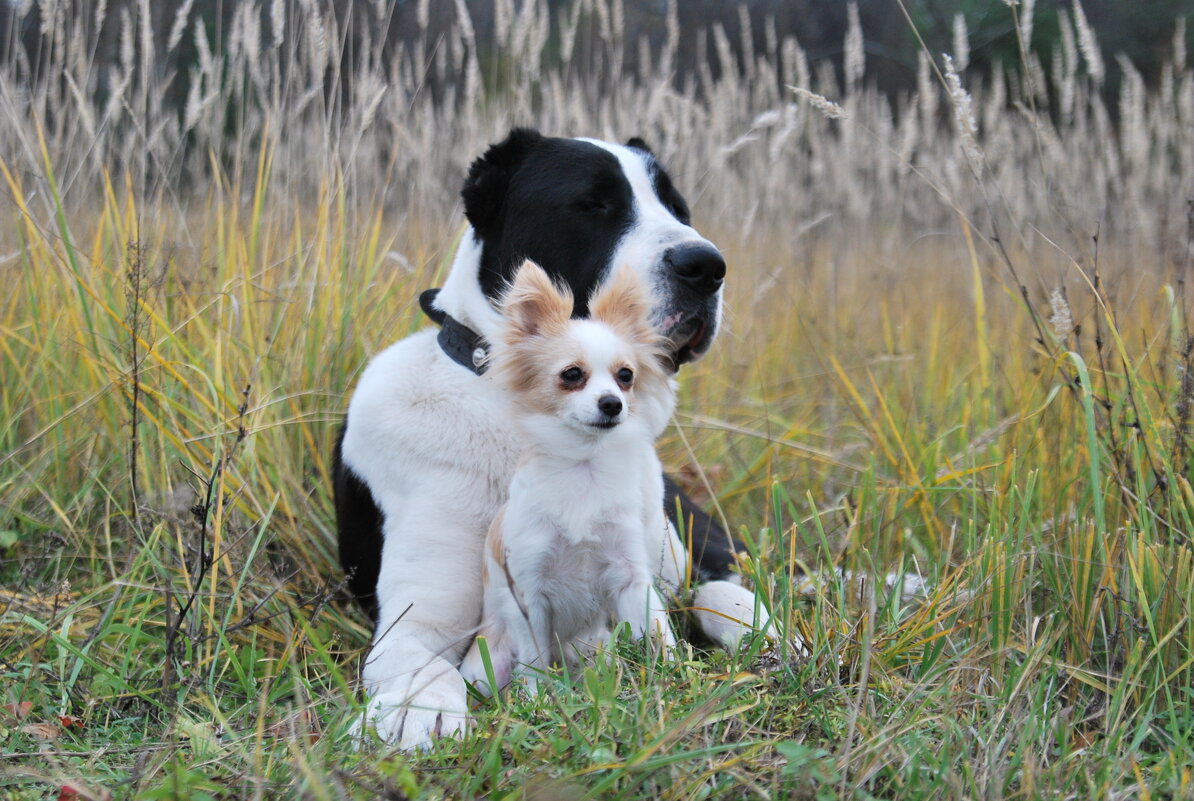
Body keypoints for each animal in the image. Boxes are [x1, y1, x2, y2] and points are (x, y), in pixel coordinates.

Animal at [458, 262, 682, 697]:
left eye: (626, 376)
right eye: (572, 374)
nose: (612, 403)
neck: (585, 468)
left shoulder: (631, 578)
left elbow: (658, 628)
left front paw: (677, 674)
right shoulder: (530, 593)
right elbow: (534, 661)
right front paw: (538, 701)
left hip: (597, 648)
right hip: (484, 666)